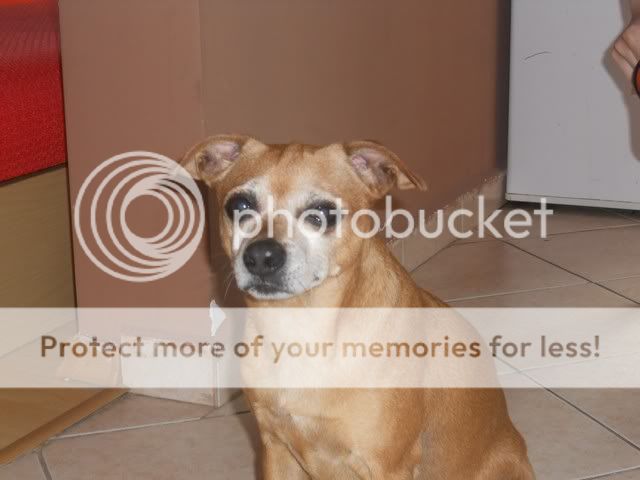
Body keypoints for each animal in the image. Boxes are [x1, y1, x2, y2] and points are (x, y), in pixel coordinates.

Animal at [182, 134, 534, 479]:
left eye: (321, 213)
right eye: (239, 206)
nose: (260, 257)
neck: (302, 333)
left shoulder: (387, 464)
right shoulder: (275, 450)